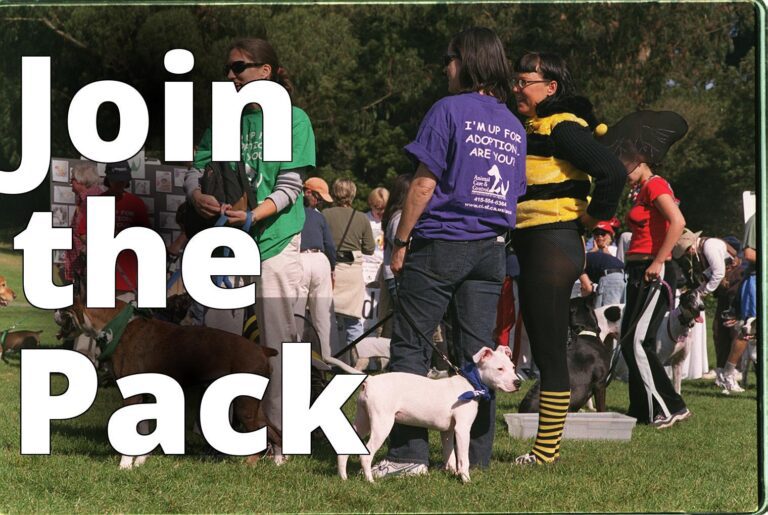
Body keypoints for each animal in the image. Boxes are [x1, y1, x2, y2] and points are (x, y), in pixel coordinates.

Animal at [54, 298, 282, 472]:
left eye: (65, 306)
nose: (54, 311)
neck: (116, 326)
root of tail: (261, 349)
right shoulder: (145, 396)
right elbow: (144, 430)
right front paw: (139, 462)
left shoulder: (132, 396)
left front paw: (125, 465)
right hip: (253, 406)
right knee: (275, 431)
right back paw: (279, 463)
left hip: (244, 406)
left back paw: (251, 464)